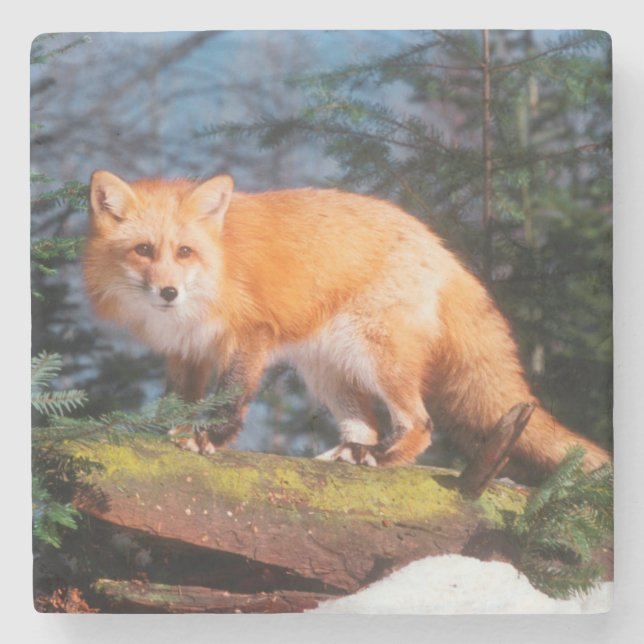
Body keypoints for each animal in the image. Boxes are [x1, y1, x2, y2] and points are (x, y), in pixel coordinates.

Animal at [83, 170, 611, 480]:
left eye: (184, 252)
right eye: (144, 250)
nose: (168, 293)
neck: (219, 266)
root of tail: (438, 245)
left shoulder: (249, 335)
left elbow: (229, 396)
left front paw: (207, 438)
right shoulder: (186, 350)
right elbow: (179, 399)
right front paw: (163, 433)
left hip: (374, 355)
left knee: (420, 424)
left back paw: (382, 459)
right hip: (328, 373)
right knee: (368, 427)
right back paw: (350, 456)